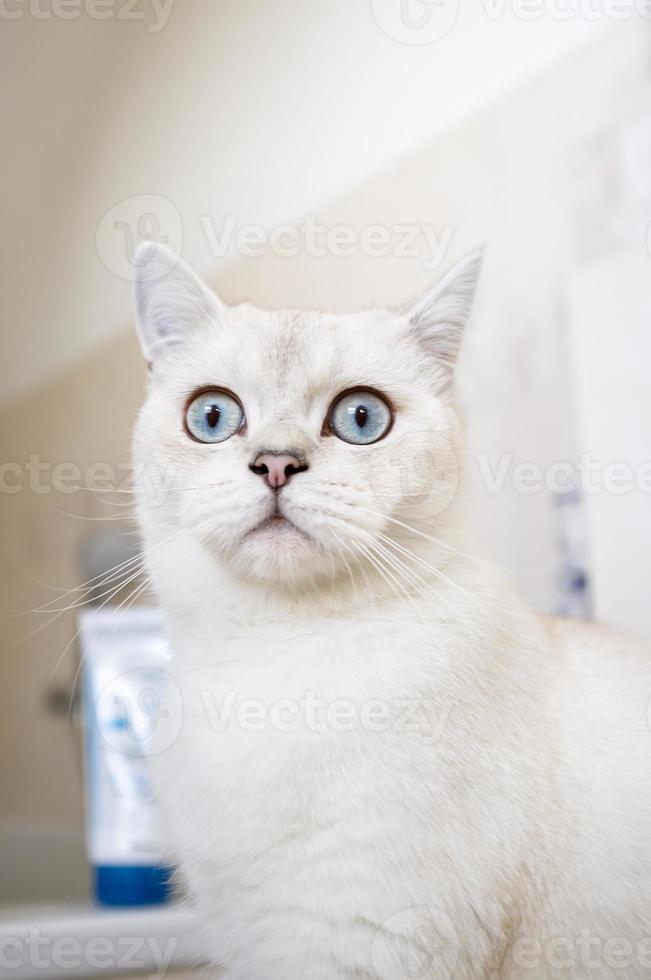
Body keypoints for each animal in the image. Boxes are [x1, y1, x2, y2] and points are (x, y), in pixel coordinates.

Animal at [131, 239, 651, 980]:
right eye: (211, 417)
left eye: (360, 418)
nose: (276, 464)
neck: (271, 662)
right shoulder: (248, 940)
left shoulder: (358, 941)